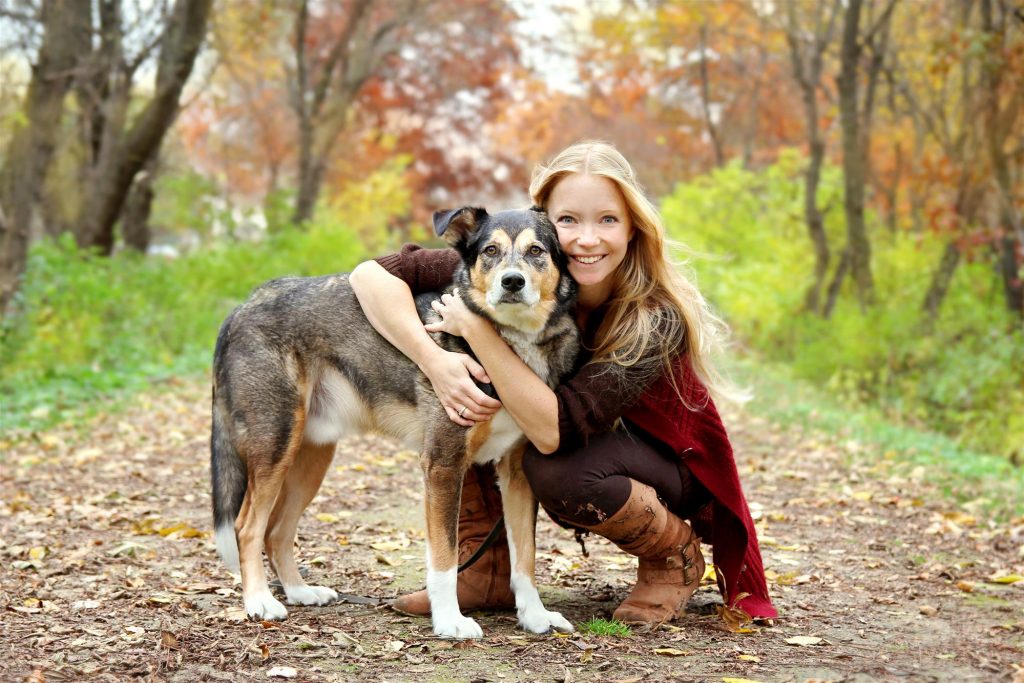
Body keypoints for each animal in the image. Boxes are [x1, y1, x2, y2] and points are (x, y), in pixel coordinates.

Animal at [209, 205, 577, 638]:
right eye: (490, 250)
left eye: (536, 250)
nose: (512, 282)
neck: (506, 347)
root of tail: (243, 307)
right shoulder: (443, 464)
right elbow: (445, 558)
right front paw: (449, 621)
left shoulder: (517, 473)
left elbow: (526, 557)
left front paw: (535, 615)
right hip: (277, 443)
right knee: (248, 526)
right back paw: (259, 601)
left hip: (310, 456)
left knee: (276, 530)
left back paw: (299, 591)